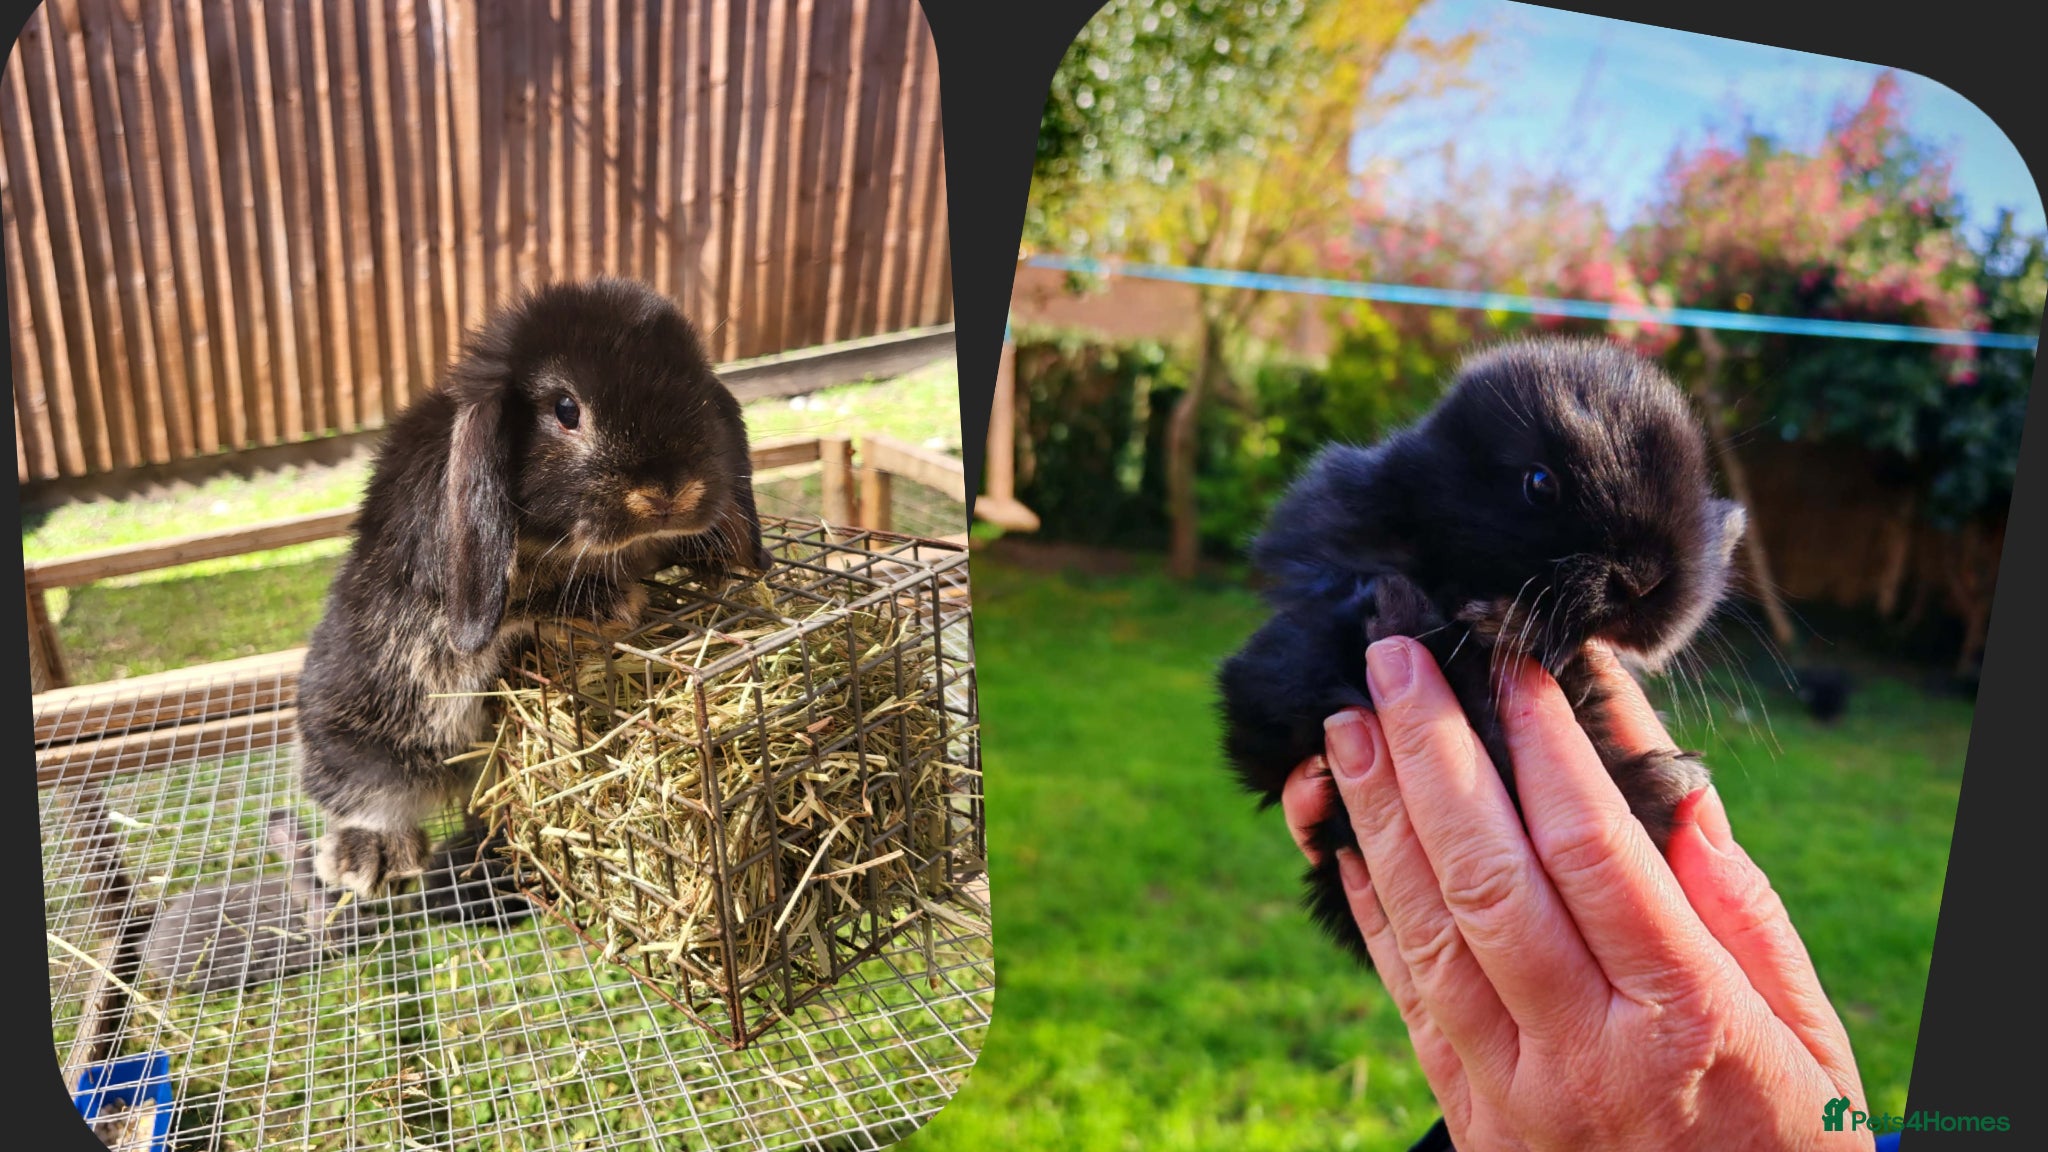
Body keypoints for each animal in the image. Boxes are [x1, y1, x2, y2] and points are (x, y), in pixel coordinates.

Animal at [297, 278, 774, 902]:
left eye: (697, 389)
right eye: (566, 409)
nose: (669, 492)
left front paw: (718, 564)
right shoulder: (441, 611)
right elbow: (505, 613)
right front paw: (611, 603)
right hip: (361, 715)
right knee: (360, 783)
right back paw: (368, 856)